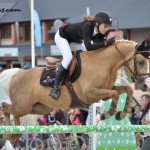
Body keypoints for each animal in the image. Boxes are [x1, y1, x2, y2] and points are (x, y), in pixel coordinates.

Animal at [0, 39, 149, 126]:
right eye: (141, 61)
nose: (146, 85)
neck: (104, 64)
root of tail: (18, 74)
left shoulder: (107, 91)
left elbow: (127, 90)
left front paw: (121, 114)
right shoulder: (90, 93)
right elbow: (115, 94)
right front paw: (107, 114)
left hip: (40, 107)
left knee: (15, 113)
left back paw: (15, 129)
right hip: (23, 106)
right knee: (6, 108)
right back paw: (8, 129)